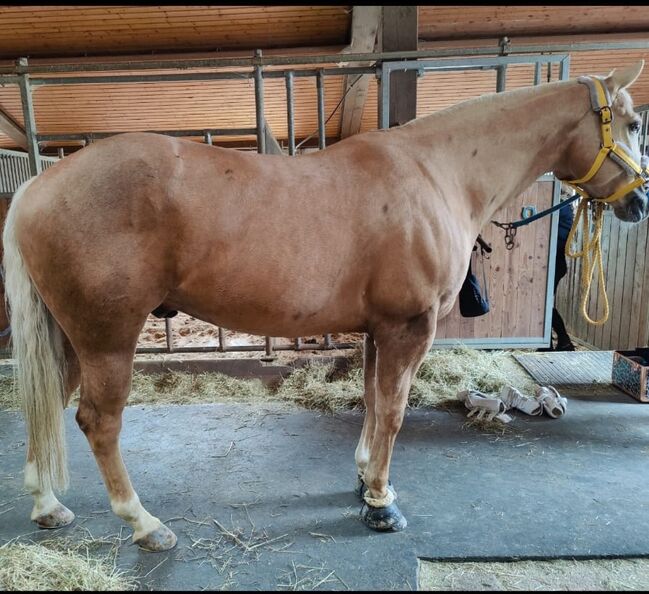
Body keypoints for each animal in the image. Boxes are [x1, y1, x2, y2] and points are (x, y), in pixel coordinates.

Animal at [5, 60, 648, 544]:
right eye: (634, 121)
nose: (639, 201)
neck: (437, 173)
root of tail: (38, 187)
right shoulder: (408, 328)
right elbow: (393, 411)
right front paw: (383, 505)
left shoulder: (379, 329)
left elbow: (372, 405)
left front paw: (366, 481)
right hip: (107, 337)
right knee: (98, 421)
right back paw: (144, 524)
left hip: (68, 337)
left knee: (49, 404)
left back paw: (47, 505)